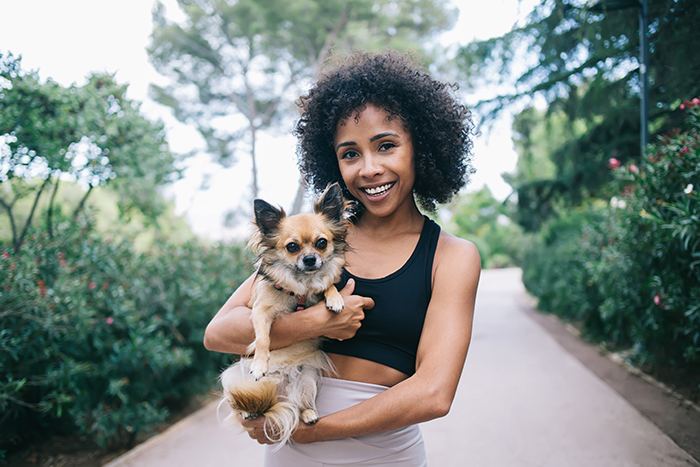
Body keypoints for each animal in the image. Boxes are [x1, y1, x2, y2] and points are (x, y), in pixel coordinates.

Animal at [221, 183, 352, 446]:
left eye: (322, 243)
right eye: (292, 247)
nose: (310, 259)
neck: (301, 286)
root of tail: (279, 389)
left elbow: (327, 285)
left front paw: (334, 298)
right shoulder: (260, 311)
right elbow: (263, 338)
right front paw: (260, 364)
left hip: (308, 377)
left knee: (299, 402)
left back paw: (308, 413)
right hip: (232, 376)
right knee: (241, 402)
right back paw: (248, 410)